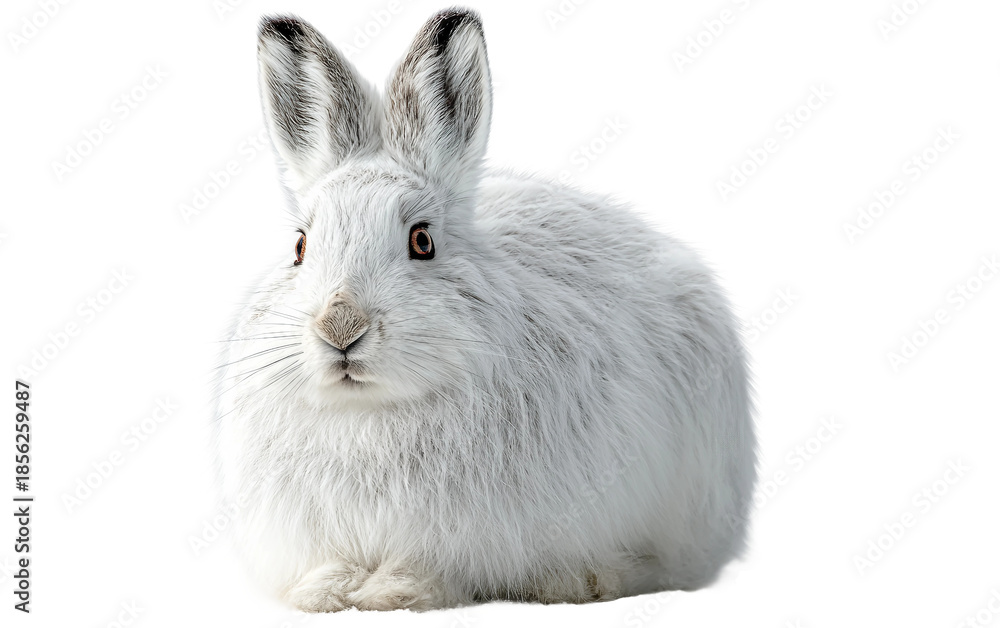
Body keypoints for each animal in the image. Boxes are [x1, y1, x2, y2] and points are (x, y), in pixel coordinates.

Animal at [212, 7, 757, 613]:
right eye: (300, 247)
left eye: (423, 241)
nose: (340, 328)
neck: (369, 412)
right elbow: (332, 565)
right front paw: (325, 592)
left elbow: (427, 567)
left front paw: (395, 592)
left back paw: (583, 581)